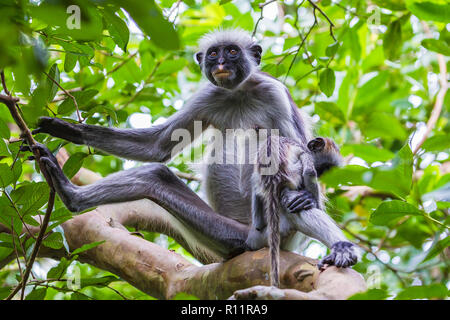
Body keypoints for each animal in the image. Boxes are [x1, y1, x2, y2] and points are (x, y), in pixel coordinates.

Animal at [248, 136, 346, 288]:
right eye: (324, 169)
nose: (321, 177)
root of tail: (273, 179)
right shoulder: (305, 154)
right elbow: (309, 172)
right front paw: (310, 198)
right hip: (293, 172)